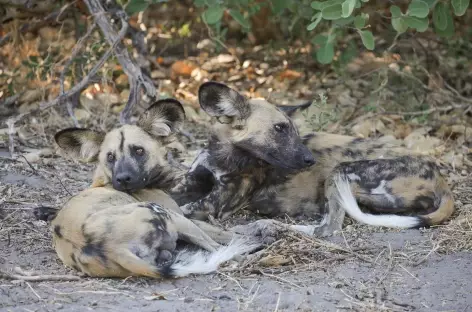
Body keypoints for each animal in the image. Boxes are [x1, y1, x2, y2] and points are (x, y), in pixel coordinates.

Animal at [36, 99, 258, 278]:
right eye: (110, 157)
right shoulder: (185, 217)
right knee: (217, 247)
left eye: (138, 151)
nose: (123, 179)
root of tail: (113, 248)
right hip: (167, 215)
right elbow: (225, 233)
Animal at [171, 81, 456, 238]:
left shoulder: (212, 205)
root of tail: (438, 175)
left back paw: (266, 226)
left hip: (340, 172)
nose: (309, 160)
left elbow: (178, 209)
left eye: (295, 132)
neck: (224, 155)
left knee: (328, 228)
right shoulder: (189, 182)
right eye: (279, 129)